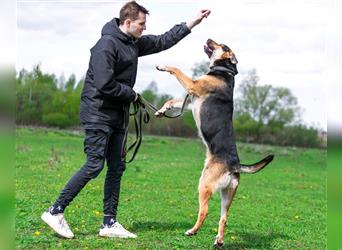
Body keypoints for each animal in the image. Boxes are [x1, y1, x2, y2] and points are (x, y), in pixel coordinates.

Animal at [155, 39, 276, 246]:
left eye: (224, 46)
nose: (208, 39)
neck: (224, 71)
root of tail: (234, 164)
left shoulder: (193, 86)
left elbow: (177, 70)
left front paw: (163, 66)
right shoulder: (190, 101)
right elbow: (172, 101)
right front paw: (161, 111)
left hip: (204, 184)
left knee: (204, 212)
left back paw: (192, 231)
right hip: (227, 194)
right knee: (224, 218)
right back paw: (219, 240)